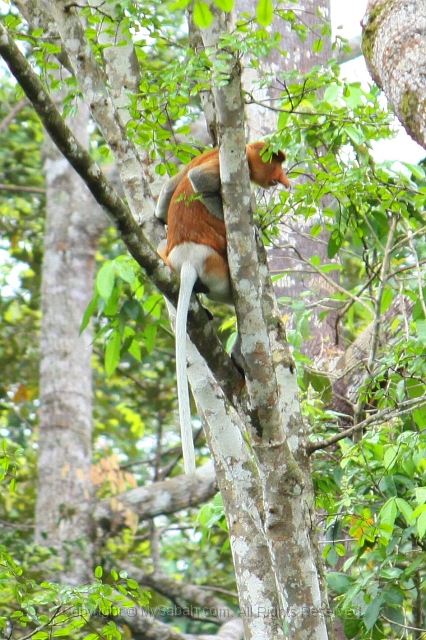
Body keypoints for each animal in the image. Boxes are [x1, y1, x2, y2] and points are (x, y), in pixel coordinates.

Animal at [156, 144, 290, 476]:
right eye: (276, 165)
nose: (284, 180)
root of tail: (189, 257)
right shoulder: (224, 165)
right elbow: (199, 179)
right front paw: (251, 226)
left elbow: (168, 192)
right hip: (222, 270)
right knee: (253, 301)